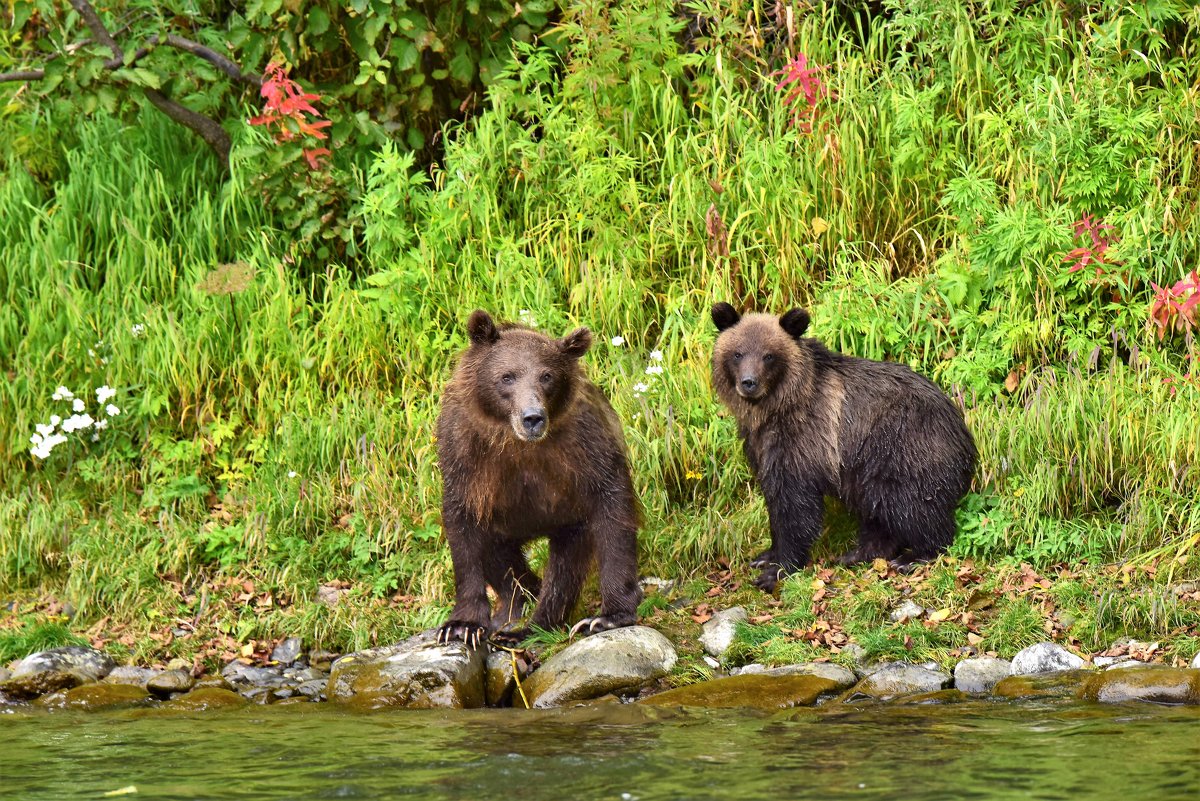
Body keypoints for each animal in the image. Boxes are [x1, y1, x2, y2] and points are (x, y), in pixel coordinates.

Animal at [429, 309, 638, 647]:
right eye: (507, 376)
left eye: (547, 376)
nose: (532, 417)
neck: (515, 441)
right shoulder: (466, 457)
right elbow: (463, 529)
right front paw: (462, 624)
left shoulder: (584, 446)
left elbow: (613, 510)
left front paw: (608, 616)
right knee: (501, 558)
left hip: (568, 523)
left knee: (563, 570)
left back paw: (529, 628)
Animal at [710, 303, 974, 592]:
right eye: (737, 353)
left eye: (769, 355)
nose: (749, 382)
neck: (775, 408)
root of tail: (962, 428)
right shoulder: (761, 445)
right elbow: (774, 498)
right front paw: (765, 555)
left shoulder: (802, 441)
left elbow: (794, 506)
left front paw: (777, 570)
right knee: (876, 510)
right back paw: (857, 554)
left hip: (903, 449)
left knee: (913, 505)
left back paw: (913, 556)